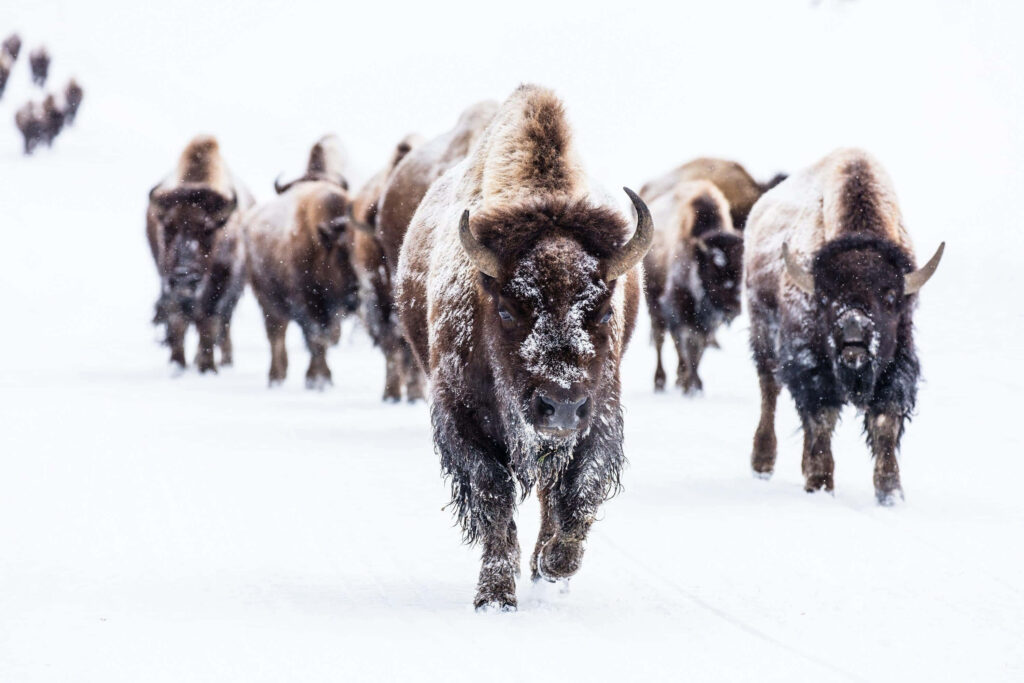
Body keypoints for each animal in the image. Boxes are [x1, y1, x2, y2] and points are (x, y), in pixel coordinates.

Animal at [396, 85, 651, 610]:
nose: (560, 407)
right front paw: (495, 596)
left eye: (604, 311)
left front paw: (553, 566)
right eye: (509, 309)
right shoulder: (461, 419)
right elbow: (493, 496)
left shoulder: (599, 415)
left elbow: (579, 491)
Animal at [745, 148, 943, 504]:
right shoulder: (811, 367)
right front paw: (820, 483)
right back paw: (762, 464)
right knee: (769, 390)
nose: (854, 337)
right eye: (824, 297)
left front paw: (890, 492)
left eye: (890, 297)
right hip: (762, 333)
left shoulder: (897, 366)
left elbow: (885, 422)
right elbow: (821, 418)